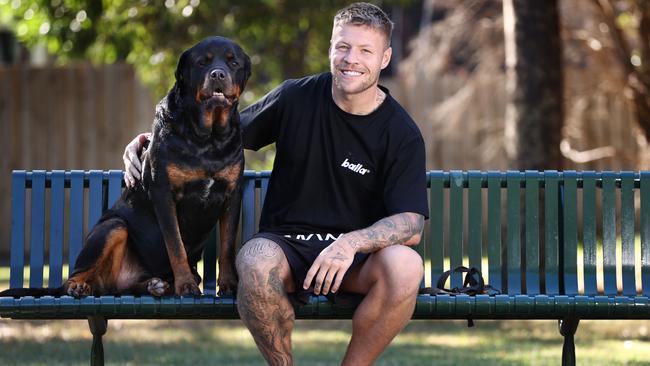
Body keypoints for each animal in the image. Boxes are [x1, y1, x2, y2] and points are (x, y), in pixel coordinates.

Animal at [1, 36, 249, 298]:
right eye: (203, 62)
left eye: (233, 62)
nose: (218, 74)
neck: (208, 138)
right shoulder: (164, 194)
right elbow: (175, 246)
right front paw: (186, 285)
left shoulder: (232, 195)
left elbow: (227, 246)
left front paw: (229, 285)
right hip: (113, 227)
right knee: (76, 275)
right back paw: (81, 285)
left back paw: (156, 285)